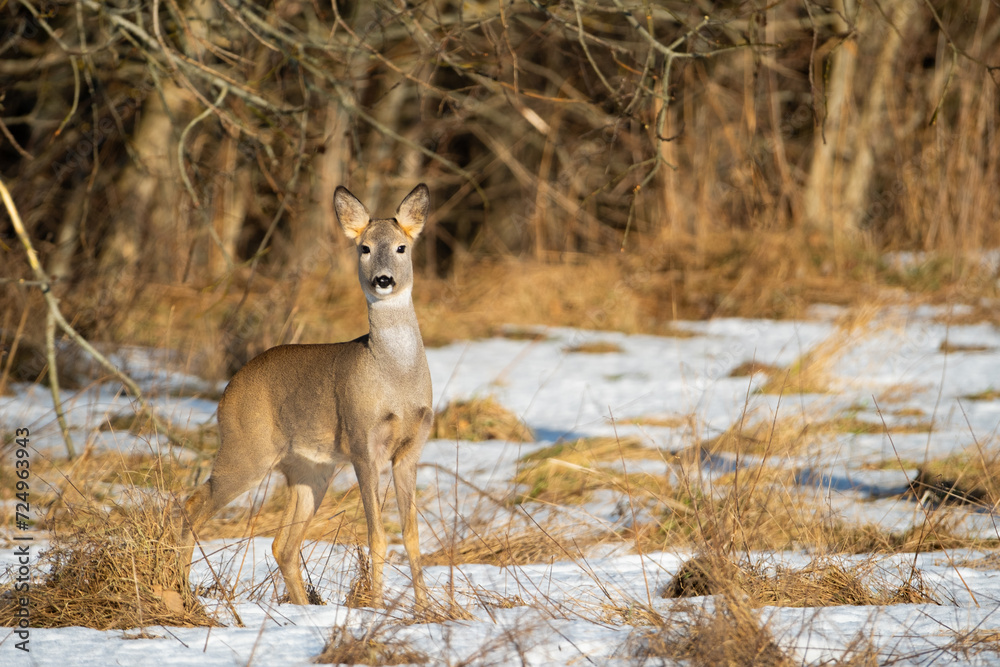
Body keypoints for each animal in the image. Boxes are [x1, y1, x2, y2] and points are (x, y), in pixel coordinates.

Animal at [178, 184, 433, 609]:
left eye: (401, 247)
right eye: (364, 248)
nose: (383, 280)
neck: (395, 380)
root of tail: (227, 391)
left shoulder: (410, 449)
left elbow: (412, 537)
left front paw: (429, 610)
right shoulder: (363, 444)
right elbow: (377, 535)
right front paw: (377, 608)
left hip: (310, 468)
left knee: (282, 543)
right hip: (247, 449)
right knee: (192, 505)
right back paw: (179, 593)